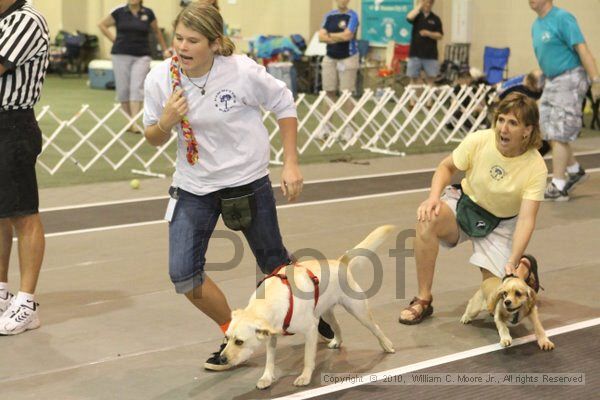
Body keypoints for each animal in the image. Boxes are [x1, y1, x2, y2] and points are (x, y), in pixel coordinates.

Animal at [218, 227, 396, 390]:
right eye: (226, 338)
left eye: (239, 342)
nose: (222, 359)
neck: (269, 302)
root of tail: (340, 262)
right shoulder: (271, 337)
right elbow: (270, 360)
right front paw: (266, 378)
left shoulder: (310, 330)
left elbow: (307, 358)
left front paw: (305, 377)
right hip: (326, 312)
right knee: (337, 326)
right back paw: (337, 342)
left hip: (358, 310)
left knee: (375, 327)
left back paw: (387, 345)